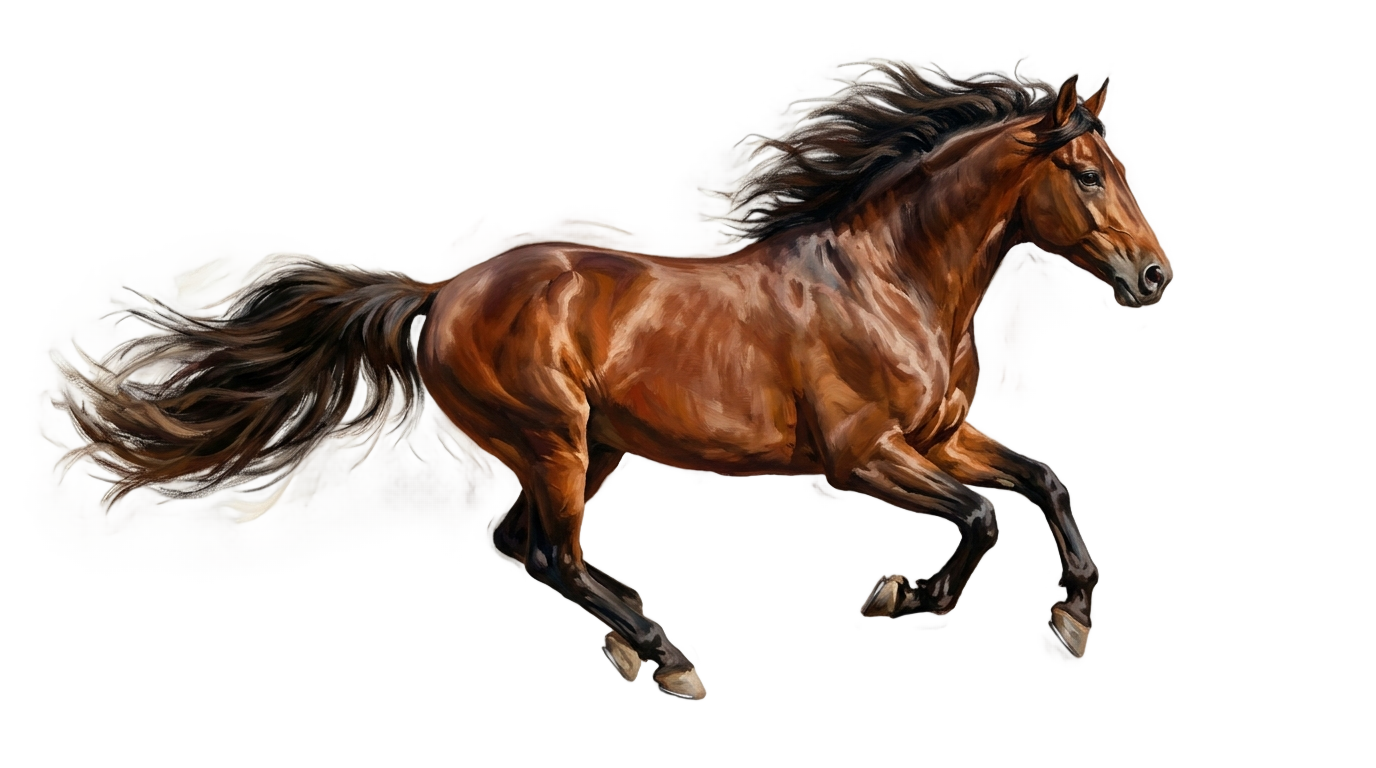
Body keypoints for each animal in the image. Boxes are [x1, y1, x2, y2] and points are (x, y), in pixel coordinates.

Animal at [60, 65, 1171, 700]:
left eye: (1114, 170)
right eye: (1086, 175)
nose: (1154, 277)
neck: (887, 282)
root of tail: (438, 295)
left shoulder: (941, 438)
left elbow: (1036, 482)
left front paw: (1078, 599)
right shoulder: (864, 457)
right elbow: (977, 519)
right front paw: (907, 598)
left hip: (576, 452)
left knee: (526, 547)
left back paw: (640, 616)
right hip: (556, 442)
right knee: (553, 555)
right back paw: (669, 658)